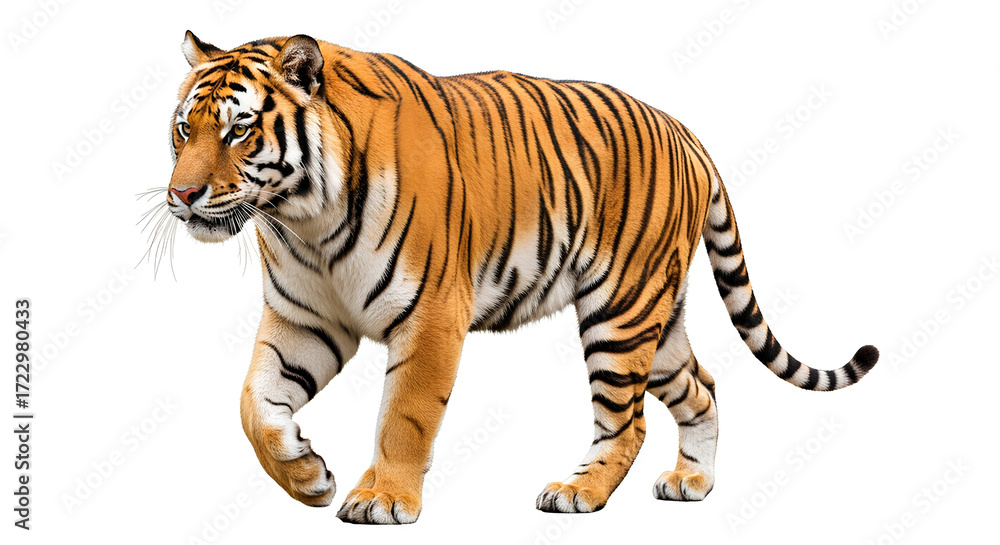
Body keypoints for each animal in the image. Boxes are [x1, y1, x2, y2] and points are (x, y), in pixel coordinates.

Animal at [161, 31, 879, 524]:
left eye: (240, 129)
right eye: (183, 128)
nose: (182, 195)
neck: (303, 217)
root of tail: (685, 132)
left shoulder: (431, 316)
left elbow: (404, 417)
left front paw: (383, 498)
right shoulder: (304, 320)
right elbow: (254, 405)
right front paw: (303, 473)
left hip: (620, 311)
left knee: (628, 421)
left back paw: (578, 490)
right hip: (657, 319)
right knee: (700, 387)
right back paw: (691, 483)